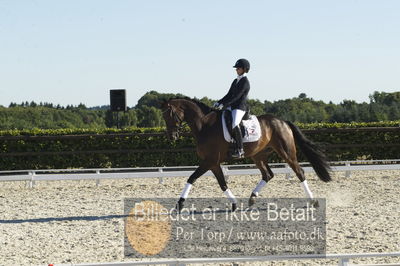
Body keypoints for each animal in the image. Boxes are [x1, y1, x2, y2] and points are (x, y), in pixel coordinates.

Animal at [159, 96, 332, 211]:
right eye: (163, 116)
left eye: (170, 114)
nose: (172, 137)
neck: (204, 126)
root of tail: (282, 121)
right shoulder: (214, 163)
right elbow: (222, 184)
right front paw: (234, 204)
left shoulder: (210, 161)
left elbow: (192, 178)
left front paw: (180, 204)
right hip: (258, 155)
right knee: (268, 175)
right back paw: (252, 199)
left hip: (286, 152)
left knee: (299, 172)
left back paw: (313, 201)